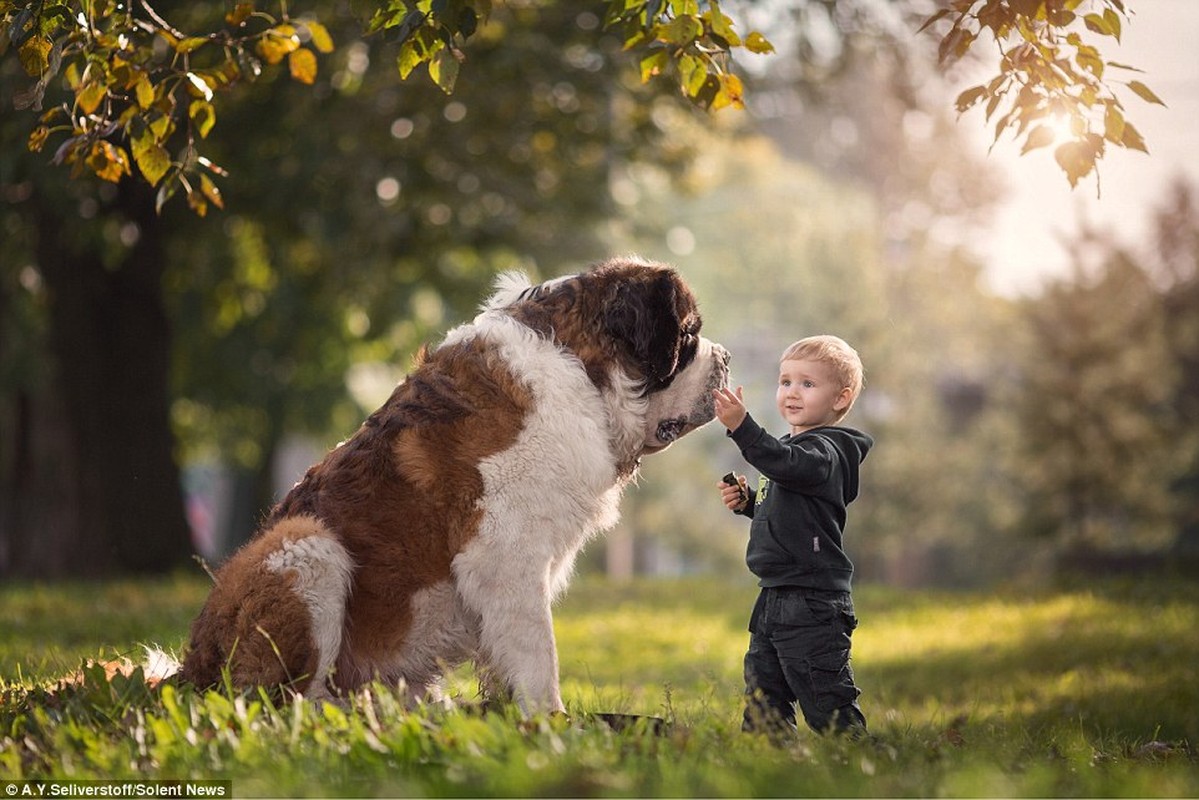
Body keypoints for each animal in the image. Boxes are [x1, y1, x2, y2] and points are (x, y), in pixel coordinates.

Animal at [175, 257, 728, 714]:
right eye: (689, 337)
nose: (725, 357)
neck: (581, 368)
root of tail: (189, 670)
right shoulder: (506, 557)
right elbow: (537, 652)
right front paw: (553, 726)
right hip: (307, 545)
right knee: (281, 703)